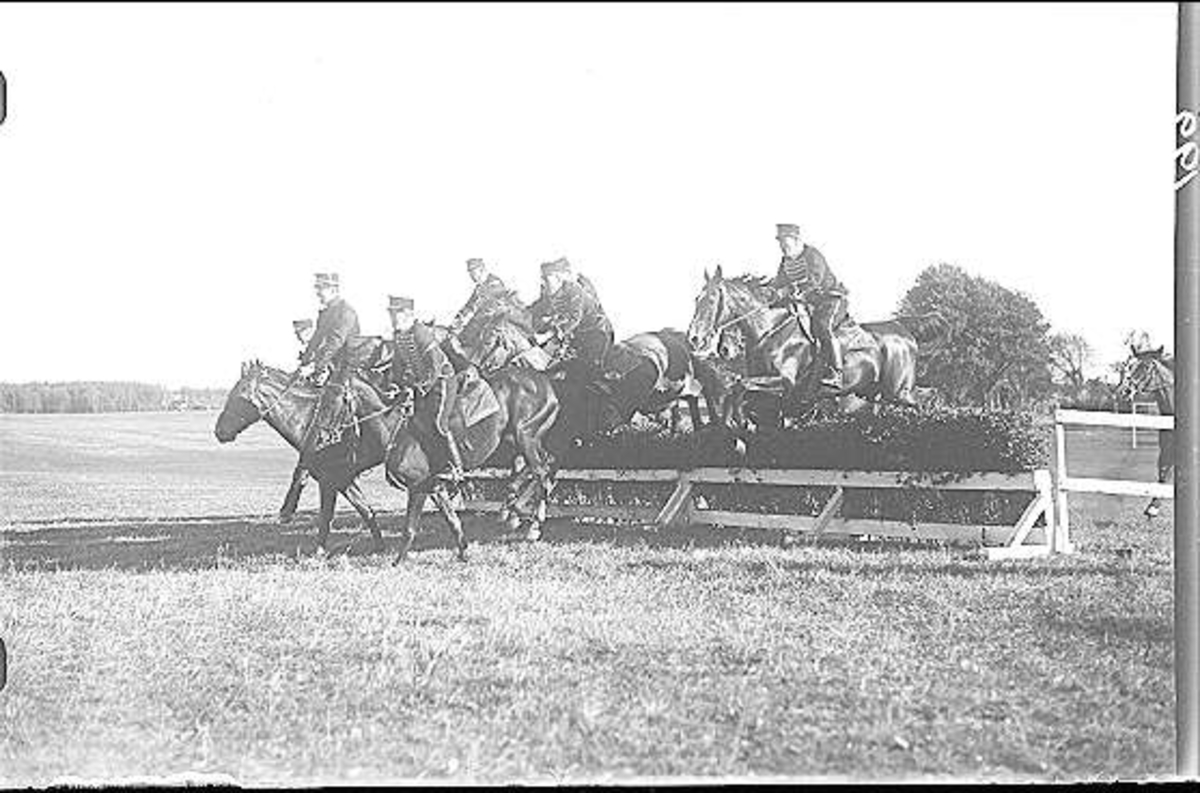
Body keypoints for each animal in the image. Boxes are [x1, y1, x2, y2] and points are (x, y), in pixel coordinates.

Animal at [214, 360, 558, 562]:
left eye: (238, 397)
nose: (219, 432)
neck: (396, 428)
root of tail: (545, 383)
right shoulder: (418, 485)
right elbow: (440, 518)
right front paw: (461, 552)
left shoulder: (404, 486)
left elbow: (401, 526)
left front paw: (394, 559)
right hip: (518, 441)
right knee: (543, 468)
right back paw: (512, 509)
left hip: (526, 437)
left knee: (542, 471)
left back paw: (530, 522)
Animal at [685, 265, 948, 421]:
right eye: (696, 298)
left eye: (711, 300)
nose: (693, 338)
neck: (770, 331)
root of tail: (902, 327)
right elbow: (737, 390)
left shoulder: (786, 383)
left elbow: (740, 386)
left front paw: (736, 422)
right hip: (872, 393)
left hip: (899, 392)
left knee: (925, 399)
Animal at [1117, 345, 1175, 519]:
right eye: (1130, 366)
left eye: (1147, 366)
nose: (1124, 391)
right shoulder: (1166, 451)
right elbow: (1163, 475)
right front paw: (1153, 507)